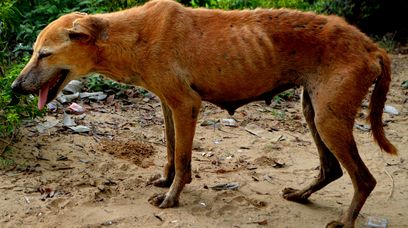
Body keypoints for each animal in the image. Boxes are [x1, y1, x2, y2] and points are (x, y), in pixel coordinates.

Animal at [11, 0, 396, 227]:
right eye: (33, 52)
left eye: (44, 54)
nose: (13, 88)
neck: (129, 35)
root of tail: (370, 45)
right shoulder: (168, 104)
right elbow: (170, 153)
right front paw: (166, 181)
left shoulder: (186, 105)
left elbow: (183, 160)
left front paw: (172, 197)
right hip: (313, 109)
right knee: (332, 169)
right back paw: (302, 195)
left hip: (329, 120)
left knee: (365, 179)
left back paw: (346, 221)